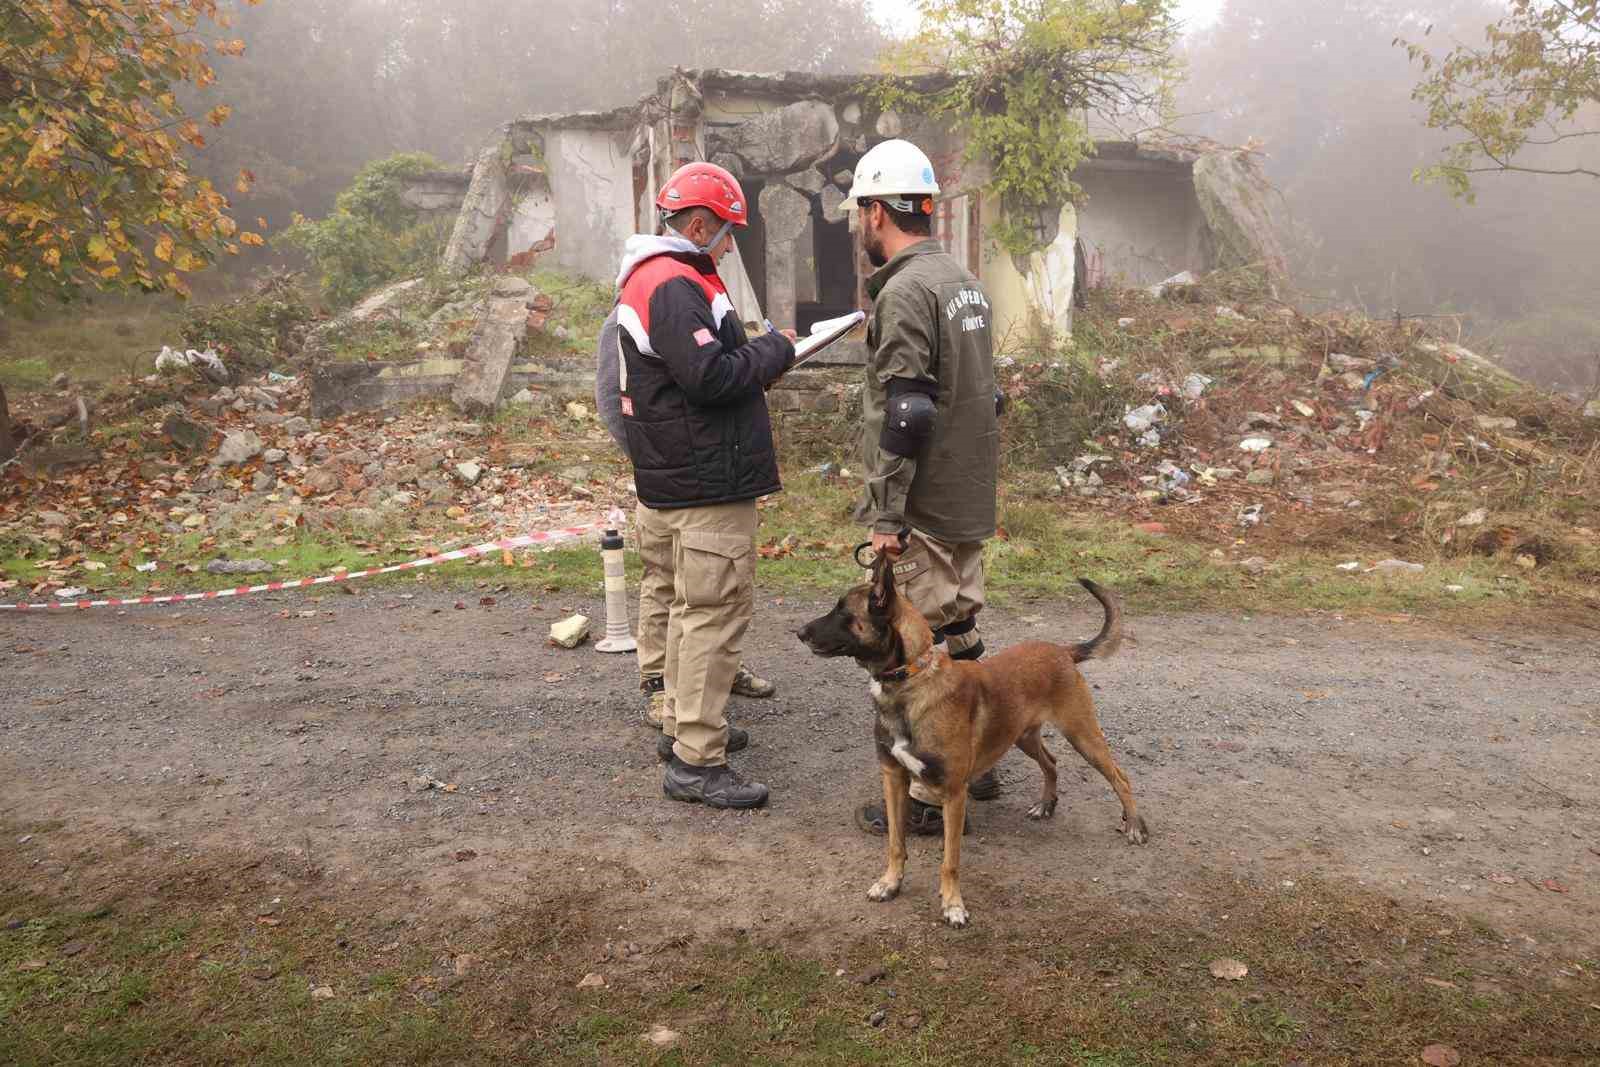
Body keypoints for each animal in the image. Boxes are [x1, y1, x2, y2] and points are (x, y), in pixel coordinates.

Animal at [793, 559, 1145, 927]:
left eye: (843, 611)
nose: (799, 632)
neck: (910, 680)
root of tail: (1062, 651)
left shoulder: (953, 794)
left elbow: (950, 861)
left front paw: (952, 905)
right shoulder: (893, 777)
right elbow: (895, 842)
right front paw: (890, 883)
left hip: (1082, 735)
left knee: (1120, 777)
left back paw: (1134, 825)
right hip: (1022, 736)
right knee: (1051, 762)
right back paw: (1046, 804)